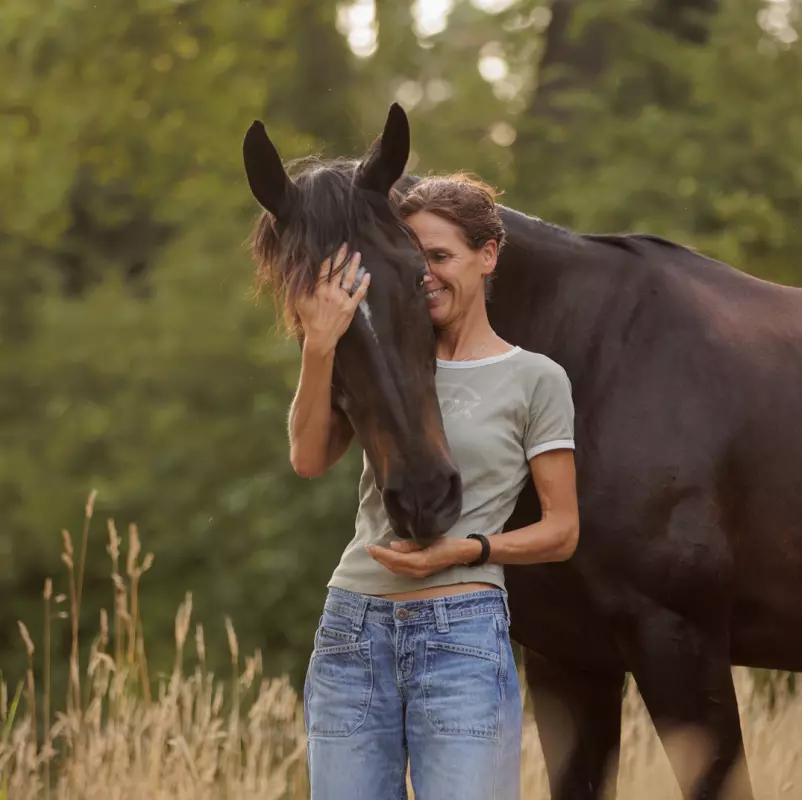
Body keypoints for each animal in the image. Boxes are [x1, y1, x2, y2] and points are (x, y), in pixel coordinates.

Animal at [243, 104, 802, 800]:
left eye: (419, 274)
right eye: (308, 312)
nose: (426, 497)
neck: (601, 362)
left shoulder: (682, 644)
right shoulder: (572, 661)